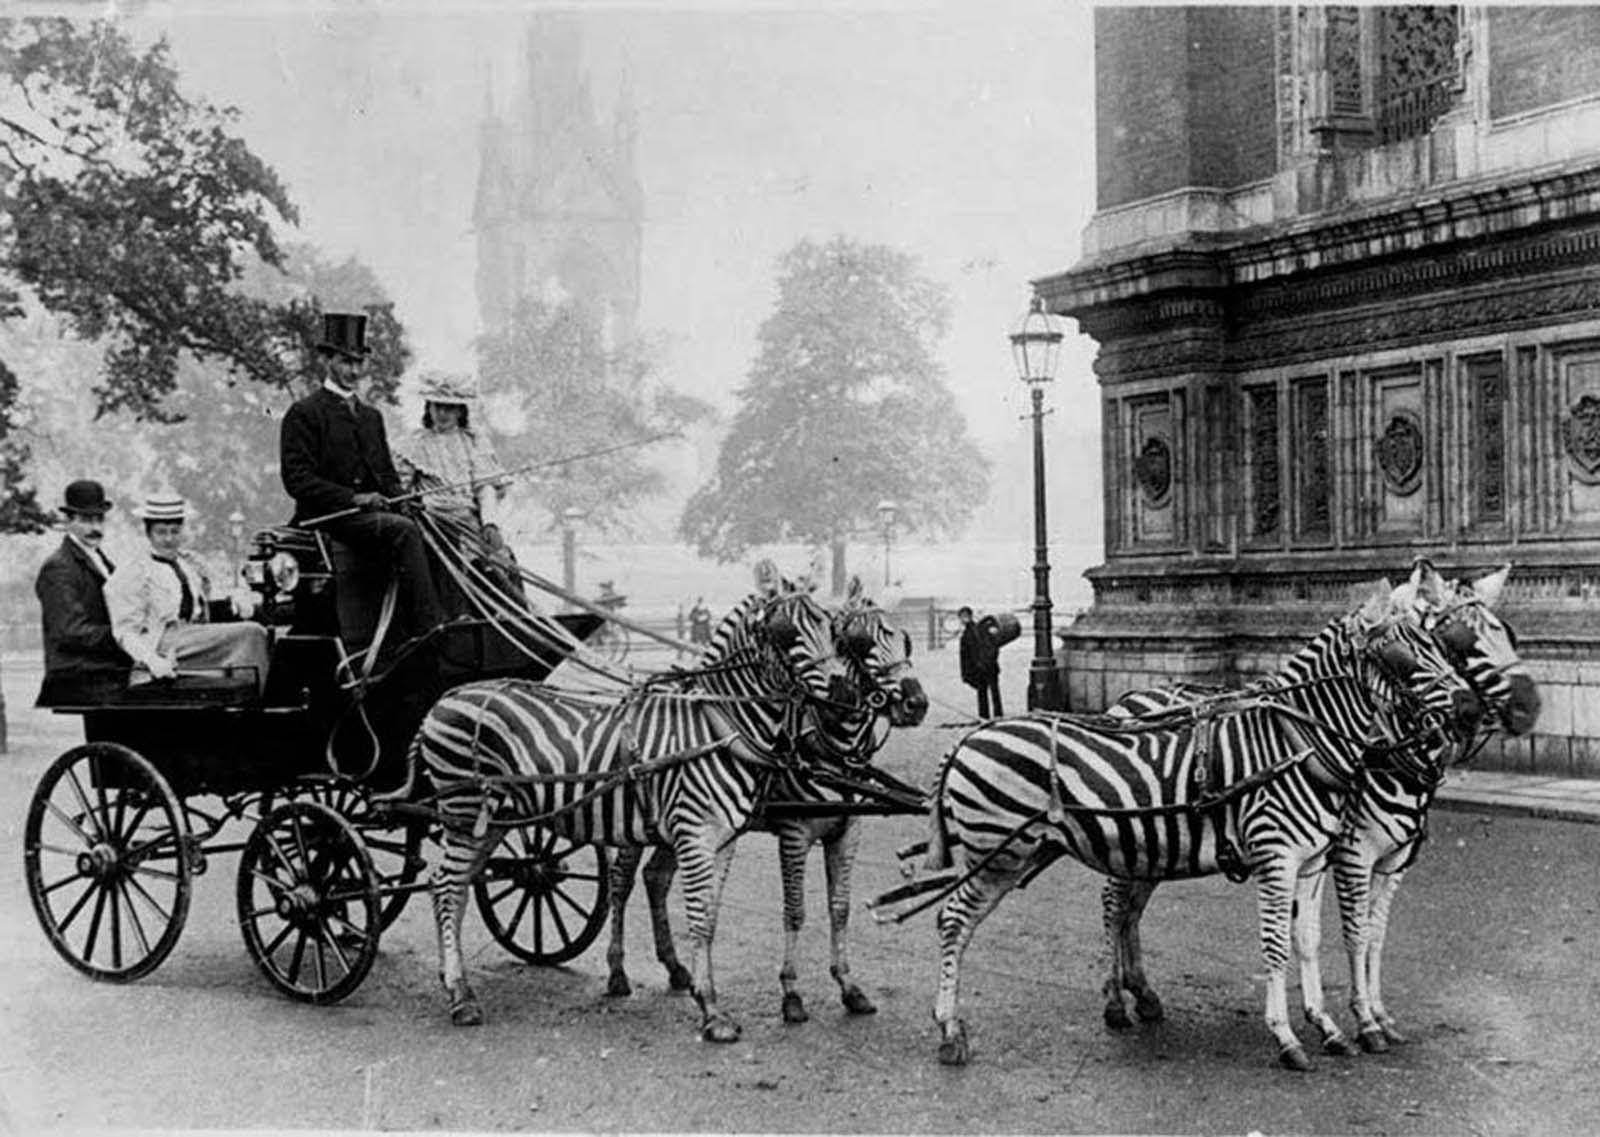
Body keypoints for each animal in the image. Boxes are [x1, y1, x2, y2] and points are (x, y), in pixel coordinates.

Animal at [412, 572, 864, 1042]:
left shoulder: (722, 841)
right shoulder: (697, 836)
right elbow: (698, 918)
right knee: (447, 886)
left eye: (832, 628)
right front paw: (711, 1010)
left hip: (494, 820)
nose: (845, 690)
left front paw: (705, 995)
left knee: (453, 886)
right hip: (465, 815)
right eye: (785, 632)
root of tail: (444, 700)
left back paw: (451, 980)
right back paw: (461, 996)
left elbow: (710, 919)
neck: (719, 726)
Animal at [604, 582, 934, 1029]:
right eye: (859, 642)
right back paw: (617, 971)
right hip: (636, 822)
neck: (831, 748)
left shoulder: (848, 831)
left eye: (905, 639)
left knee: (656, 878)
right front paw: (791, 994)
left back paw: (676, 968)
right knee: (620, 884)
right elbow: (795, 911)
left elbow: (840, 909)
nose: (916, 703)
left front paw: (849, 987)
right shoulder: (795, 831)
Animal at [908, 582, 1478, 1074]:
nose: (1469, 707)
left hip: (1102, 848)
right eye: (1402, 655)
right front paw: (1289, 1036)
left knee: (1110, 910)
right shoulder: (1287, 858)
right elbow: (1282, 943)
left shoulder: (1315, 861)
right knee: (954, 920)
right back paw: (951, 1029)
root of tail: (966, 738)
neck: (1299, 742)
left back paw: (1126, 1002)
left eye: (1444, 647)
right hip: (999, 855)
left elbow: (1312, 941)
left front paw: (1330, 1027)